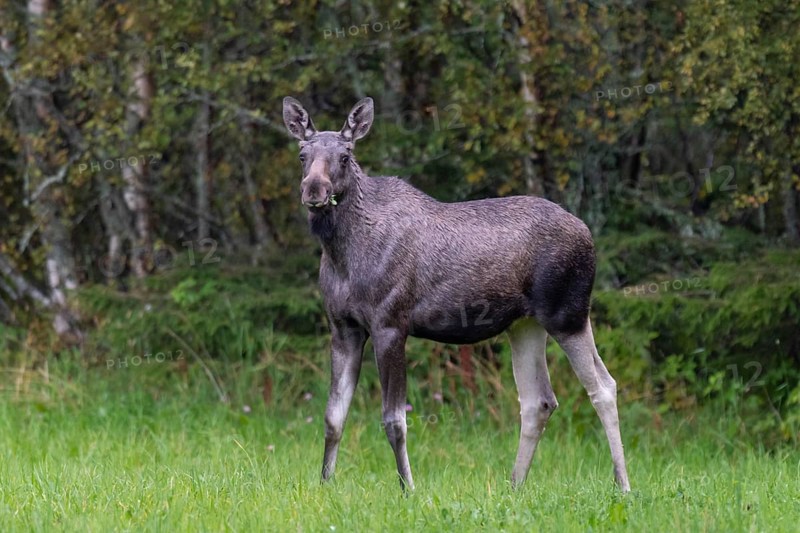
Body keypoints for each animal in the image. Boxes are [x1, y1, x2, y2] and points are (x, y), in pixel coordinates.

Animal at [282, 96, 631, 493]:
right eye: (302, 154)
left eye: (345, 154)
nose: (314, 189)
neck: (342, 253)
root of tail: (588, 234)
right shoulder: (343, 328)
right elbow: (333, 417)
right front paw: (324, 484)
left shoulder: (390, 325)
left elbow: (393, 419)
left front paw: (408, 488)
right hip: (525, 325)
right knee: (538, 401)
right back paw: (514, 485)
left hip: (567, 314)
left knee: (603, 386)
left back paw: (622, 485)